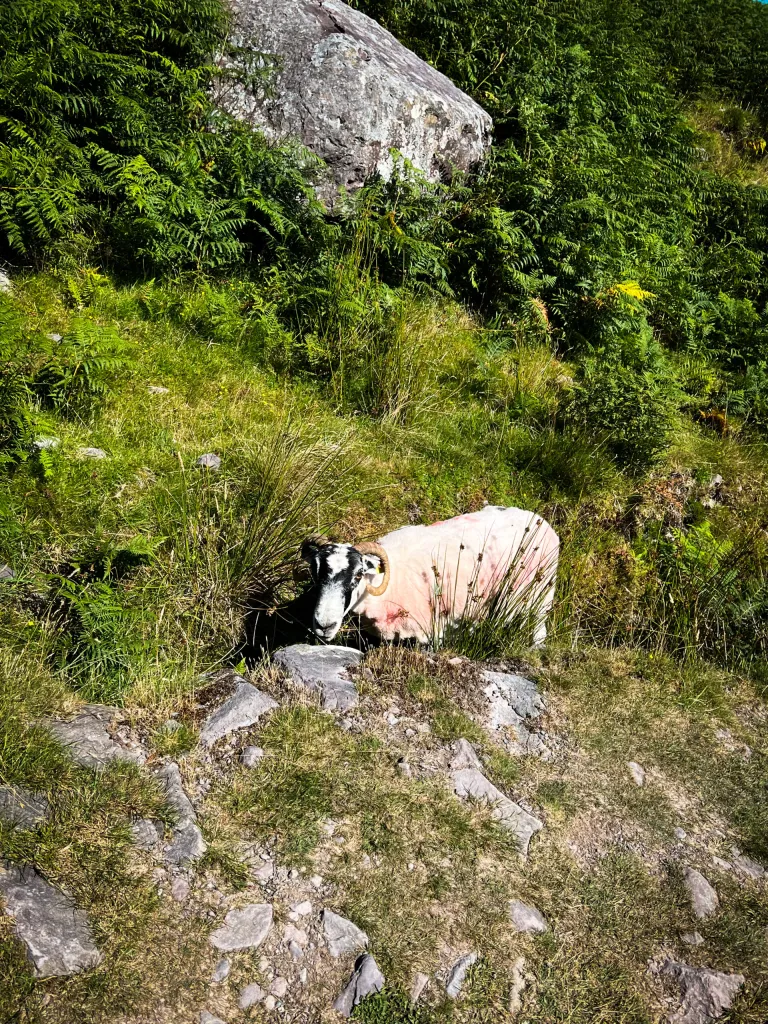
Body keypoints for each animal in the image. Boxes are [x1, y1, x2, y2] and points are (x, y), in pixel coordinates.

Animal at [301, 507, 561, 643]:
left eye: (358, 576)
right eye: (316, 572)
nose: (324, 625)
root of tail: (542, 520)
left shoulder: (432, 631)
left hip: (540, 594)